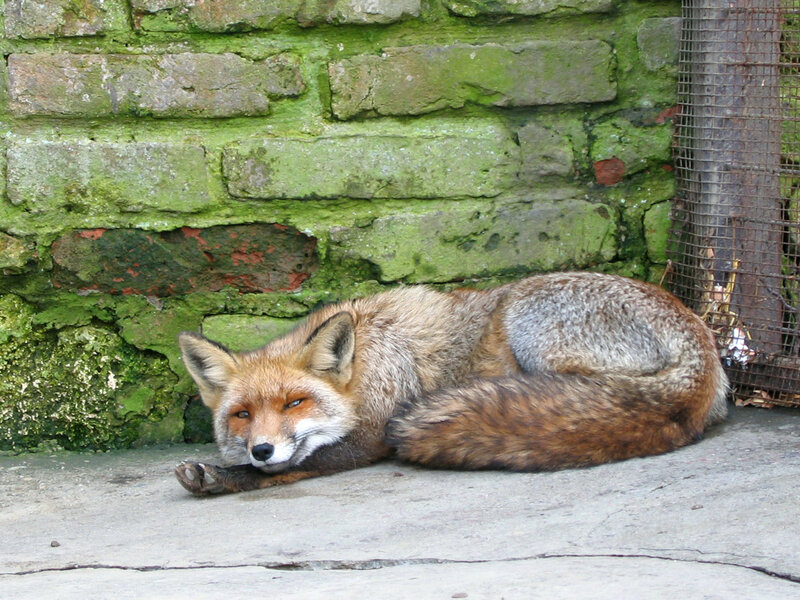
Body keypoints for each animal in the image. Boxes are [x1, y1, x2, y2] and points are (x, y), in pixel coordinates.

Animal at [175, 271, 728, 495]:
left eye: (295, 402)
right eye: (242, 415)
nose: (262, 448)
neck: (368, 354)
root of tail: (700, 336)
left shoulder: (375, 432)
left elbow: (294, 467)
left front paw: (222, 476)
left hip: (528, 318)